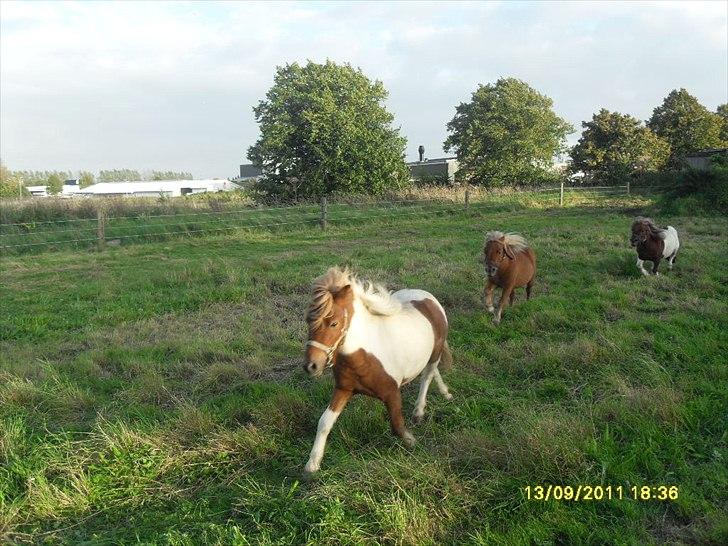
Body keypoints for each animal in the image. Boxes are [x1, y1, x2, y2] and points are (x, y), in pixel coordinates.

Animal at [300, 268, 450, 472]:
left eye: (334, 323)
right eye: (308, 321)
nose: (311, 366)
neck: (364, 355)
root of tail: (427, 297)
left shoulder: (392, 393)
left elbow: (397, 425)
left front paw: (413, 443)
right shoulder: (343, 389)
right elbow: (324, 423)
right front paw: (312, 464)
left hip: (435, 353)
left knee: (427, 376)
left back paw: (419, 412)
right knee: (432, 372)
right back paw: (445, 393)